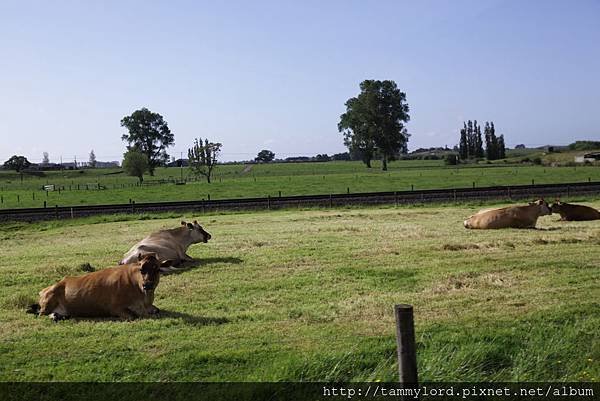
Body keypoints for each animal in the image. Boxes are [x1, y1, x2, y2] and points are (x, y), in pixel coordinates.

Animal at [27, 253, 165, 322]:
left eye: (158, 269)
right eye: (141, 269)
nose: (148, 285)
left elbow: (157, 310)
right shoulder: (115, 308)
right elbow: (133, 316)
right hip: (48, 303)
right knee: (41, 314)